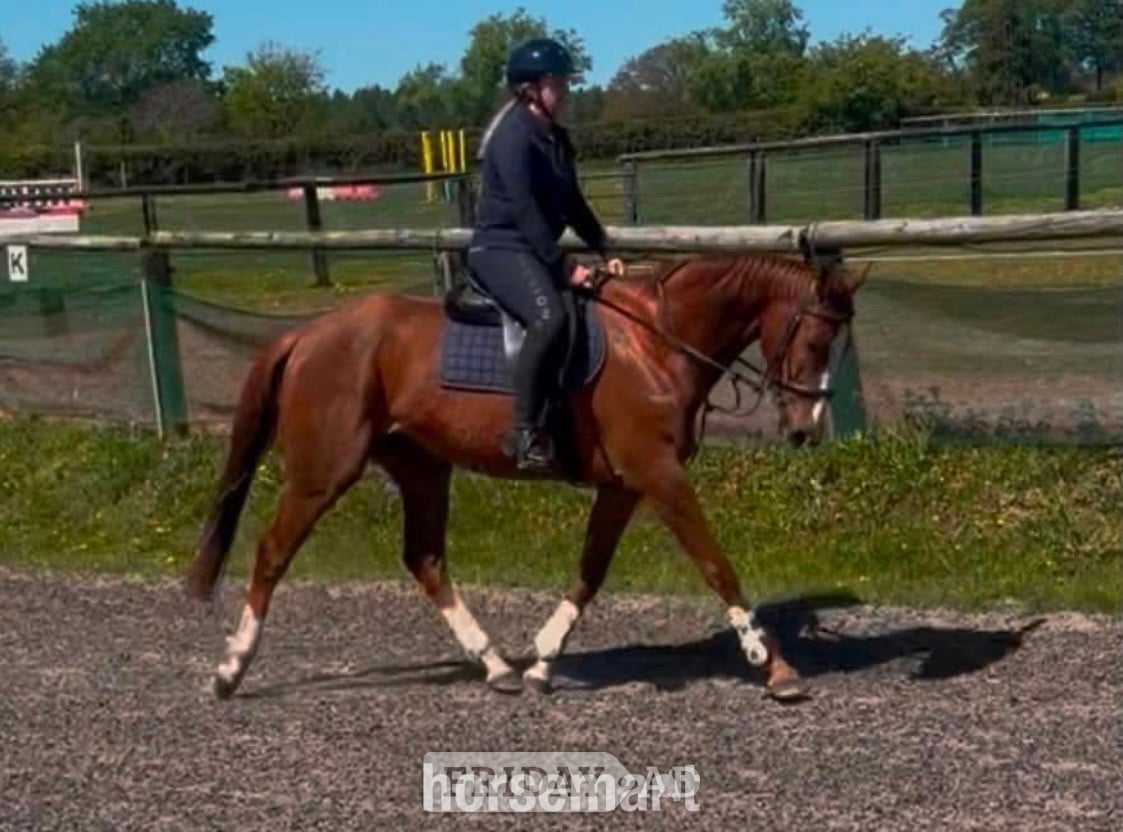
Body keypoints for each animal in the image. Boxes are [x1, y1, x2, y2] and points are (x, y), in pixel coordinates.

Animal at [185, 243, 868, 702]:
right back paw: (230, 669)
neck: (657, 342)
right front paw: (771, 663)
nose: (805, 429)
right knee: (273, 552)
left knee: (425, 560)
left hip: (422, 467)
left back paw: (497, 666)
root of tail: (306, 335)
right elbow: (714, 562)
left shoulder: (622, 485)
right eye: (813, 341)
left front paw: (542, 661)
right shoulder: (658, 473)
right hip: (322, 472)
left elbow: (591, 572)